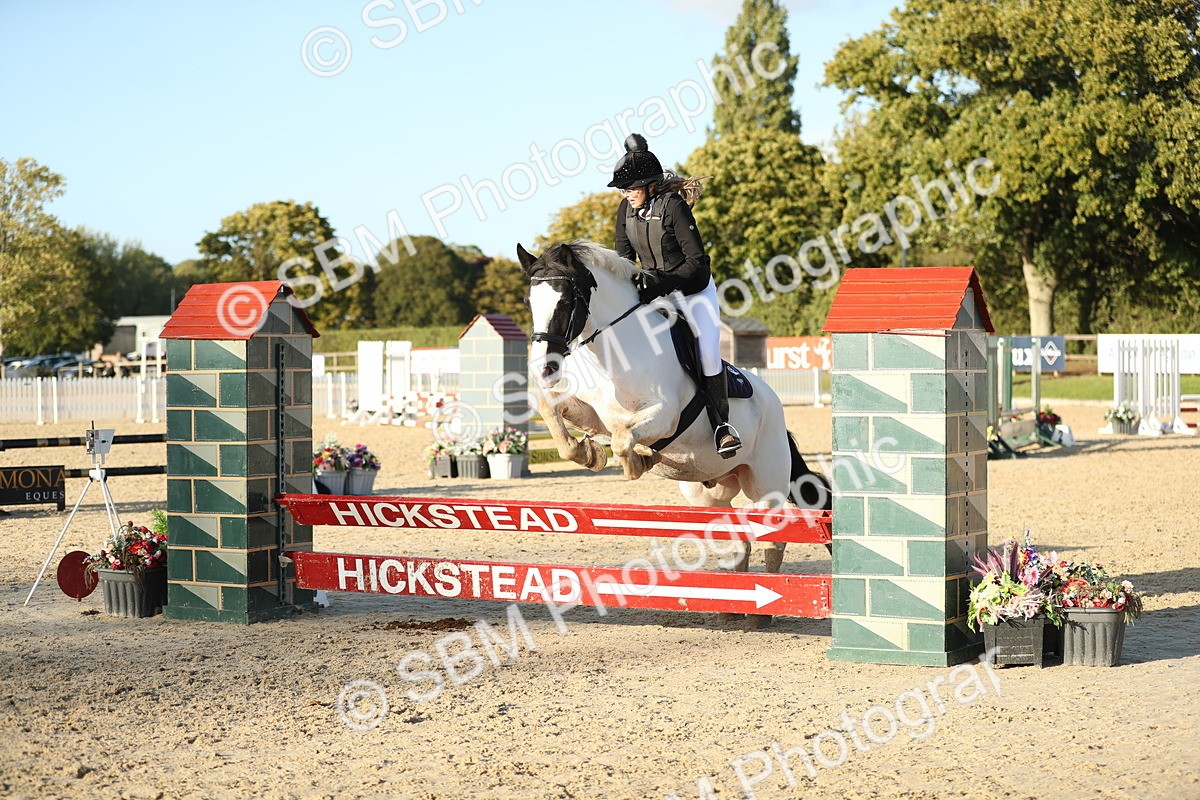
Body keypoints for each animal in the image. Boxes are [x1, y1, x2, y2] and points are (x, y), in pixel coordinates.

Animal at [516, 240, 831, 627]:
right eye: (529, 302)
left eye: (564, 301)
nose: (542, 369)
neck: (614, 353)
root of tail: (773, 403)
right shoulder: (593, 414)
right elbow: (555, 411)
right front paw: (590, 453)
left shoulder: (664, 416)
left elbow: (623, 437)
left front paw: (638, 462)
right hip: (707, 493)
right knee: (736, 538)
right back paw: (736, 605)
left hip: (766, 485)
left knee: (774, 537)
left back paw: (762, 613)